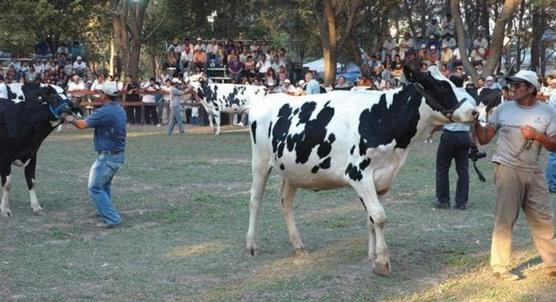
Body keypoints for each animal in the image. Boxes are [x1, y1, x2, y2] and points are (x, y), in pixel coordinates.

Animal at [0, 81, 78, 216]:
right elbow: (7, 183)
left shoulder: (32, 153)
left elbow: (31, 180)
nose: (68, 110)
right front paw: (5, 209)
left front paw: (36, 207)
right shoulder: (5, 156)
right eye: (54, 98)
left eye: (69, 100)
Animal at [245, 66, 480, 276]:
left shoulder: (383, 177)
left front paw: (372, 256)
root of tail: (265, 100)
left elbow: (371, 218)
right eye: (442, 86)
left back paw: (298, 245)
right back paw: (251, 245)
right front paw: (382, 262)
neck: (381, 117)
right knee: (255, 199)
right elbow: (379, 216)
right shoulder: (358, 174)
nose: (475, 111)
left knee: (285, 202)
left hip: (291, 170)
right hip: (260, 161)